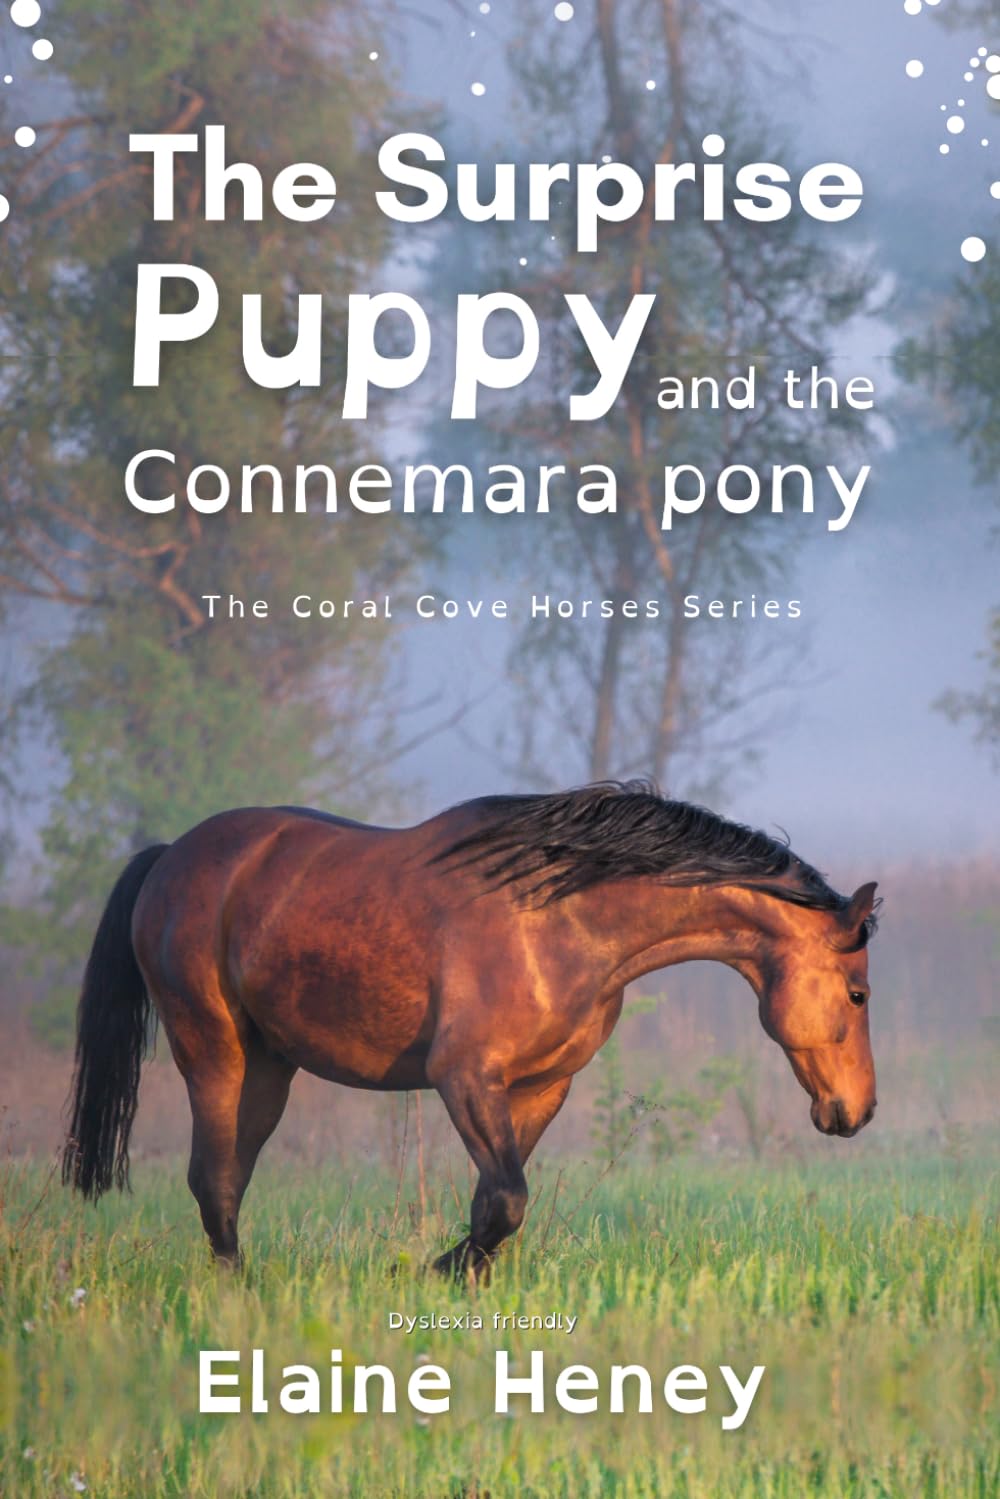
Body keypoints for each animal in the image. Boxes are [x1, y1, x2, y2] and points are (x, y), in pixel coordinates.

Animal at [62, 782, 879, 1279]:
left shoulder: (540, 1086)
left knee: (227, 1178)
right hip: (213, 1051)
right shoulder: (464, 1077)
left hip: (268, 1067)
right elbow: (507, 1198)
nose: (859, 1111)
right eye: (858, 991)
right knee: (214, 1178)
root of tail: (169, 858)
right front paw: (427, 1273)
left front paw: (456, 1280)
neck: (560, 918)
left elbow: (495, 1202)